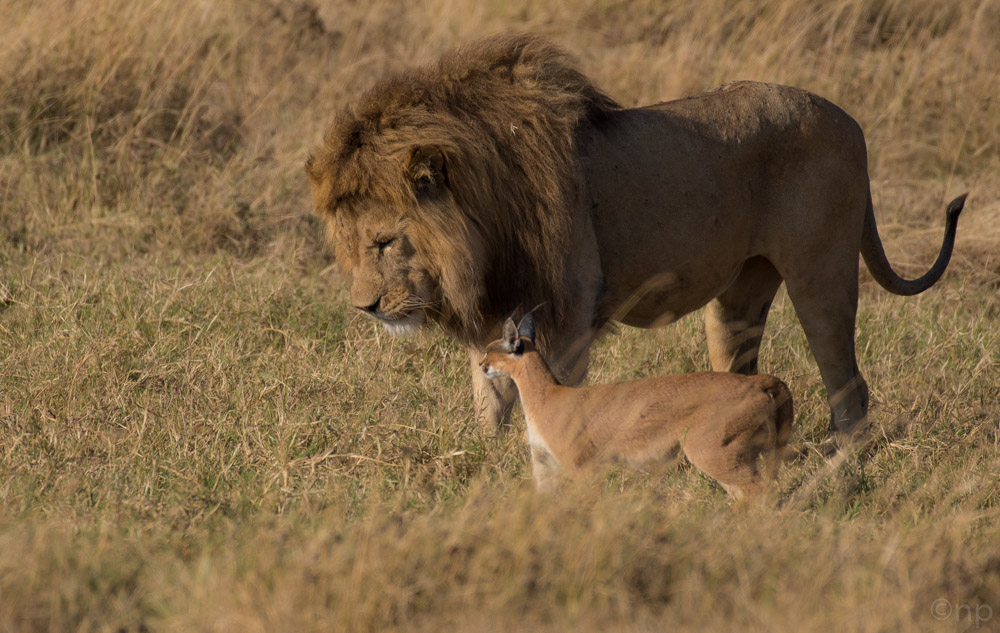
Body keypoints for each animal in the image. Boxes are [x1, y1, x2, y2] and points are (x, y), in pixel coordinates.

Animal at [304, 33, 960, 440]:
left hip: (820, 270)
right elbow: (488, 397)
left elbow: (545, 393)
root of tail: (850, 120)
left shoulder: (567, 314)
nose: (365, 307)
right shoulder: (494, 309)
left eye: (385, 242)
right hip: (738, 296)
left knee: (848, 382)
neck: (484, 224)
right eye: (348, 247)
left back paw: (842, 463)